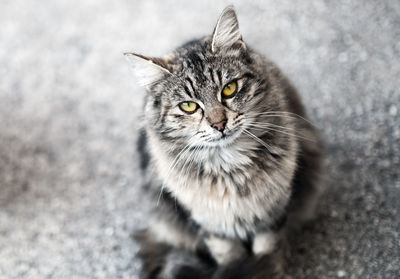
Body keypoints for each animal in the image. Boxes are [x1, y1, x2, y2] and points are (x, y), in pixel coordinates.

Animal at [126, 6, 324, 279]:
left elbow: (267, 250)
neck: (230, 169)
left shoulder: (272, 212)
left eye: (229, 89)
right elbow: (229, 255)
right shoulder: (211, 224)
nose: (219, 124)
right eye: (188, 106)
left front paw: (266, 269)